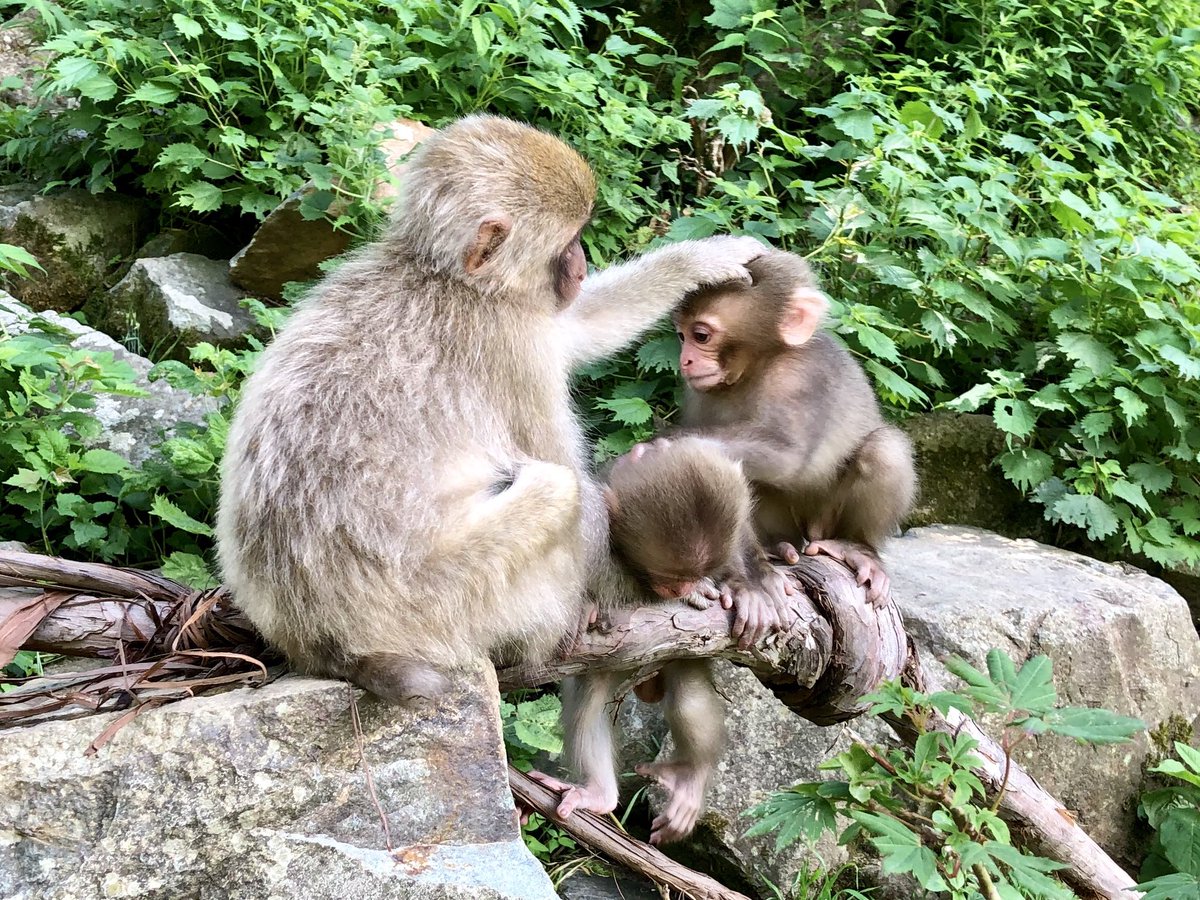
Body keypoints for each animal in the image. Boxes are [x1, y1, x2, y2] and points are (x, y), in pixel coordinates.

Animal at [216, 114, 765, 705]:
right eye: (569, 242)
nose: (581, 265)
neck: (451, 278)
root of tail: (329, 648)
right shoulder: (508, 345)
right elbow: (575, 475)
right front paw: (665, 587)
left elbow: (578, 327)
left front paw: (704, 257)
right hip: (447, 604)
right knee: (559, 489)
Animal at [670, 248, 917, 607]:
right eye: (682, 335)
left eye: (701, 336)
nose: (685, 360)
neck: (756, 367)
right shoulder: (697, 392)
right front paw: (749, 576)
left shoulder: (801, 376)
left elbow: (789, 455)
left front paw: (663, 444)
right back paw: (776, 546)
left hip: (825, 521)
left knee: (884, 450)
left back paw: (858, 548)